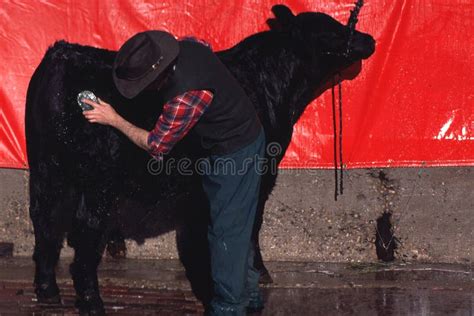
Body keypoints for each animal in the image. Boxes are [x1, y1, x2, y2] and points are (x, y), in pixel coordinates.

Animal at [25, 4, 374, 314]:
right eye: (329, 31)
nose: (368, 38)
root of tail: (64, 53)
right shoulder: (262, 173)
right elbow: (252, 224)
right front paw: (259, 272)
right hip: (97, 180)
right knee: (85, 230)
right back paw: (90, 301)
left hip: (46, 169)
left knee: (45, 223)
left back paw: (47, 291)